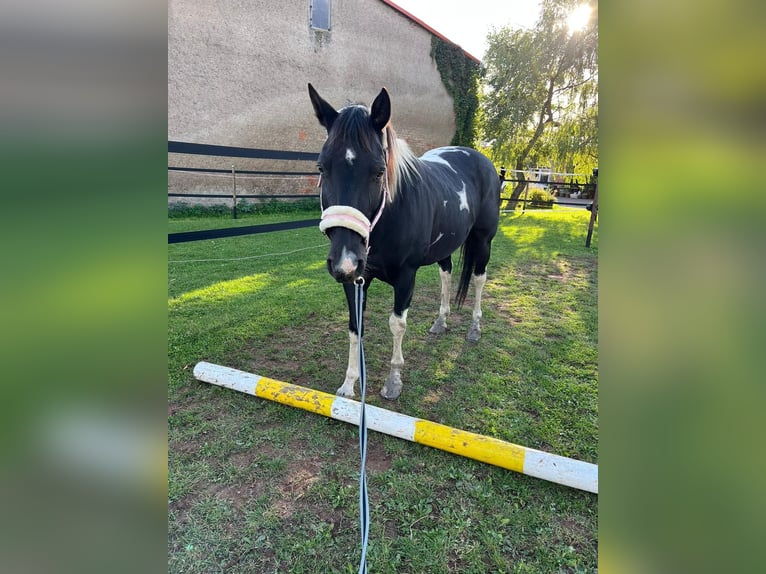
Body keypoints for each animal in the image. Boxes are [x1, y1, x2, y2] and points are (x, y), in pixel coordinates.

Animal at [308, 84, 500, 400]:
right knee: (446, 276)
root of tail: (480, 158)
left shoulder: (406, 277)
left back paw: (475, 328)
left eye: (378, 171)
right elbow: (355, 326)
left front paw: (393, 382)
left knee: (479, 279)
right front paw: (349, 385)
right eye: (322, 168)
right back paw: (440, 322)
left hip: (483, 242)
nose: (344, 261)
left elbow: (397, 325)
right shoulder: (356, 280)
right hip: (444, 247)